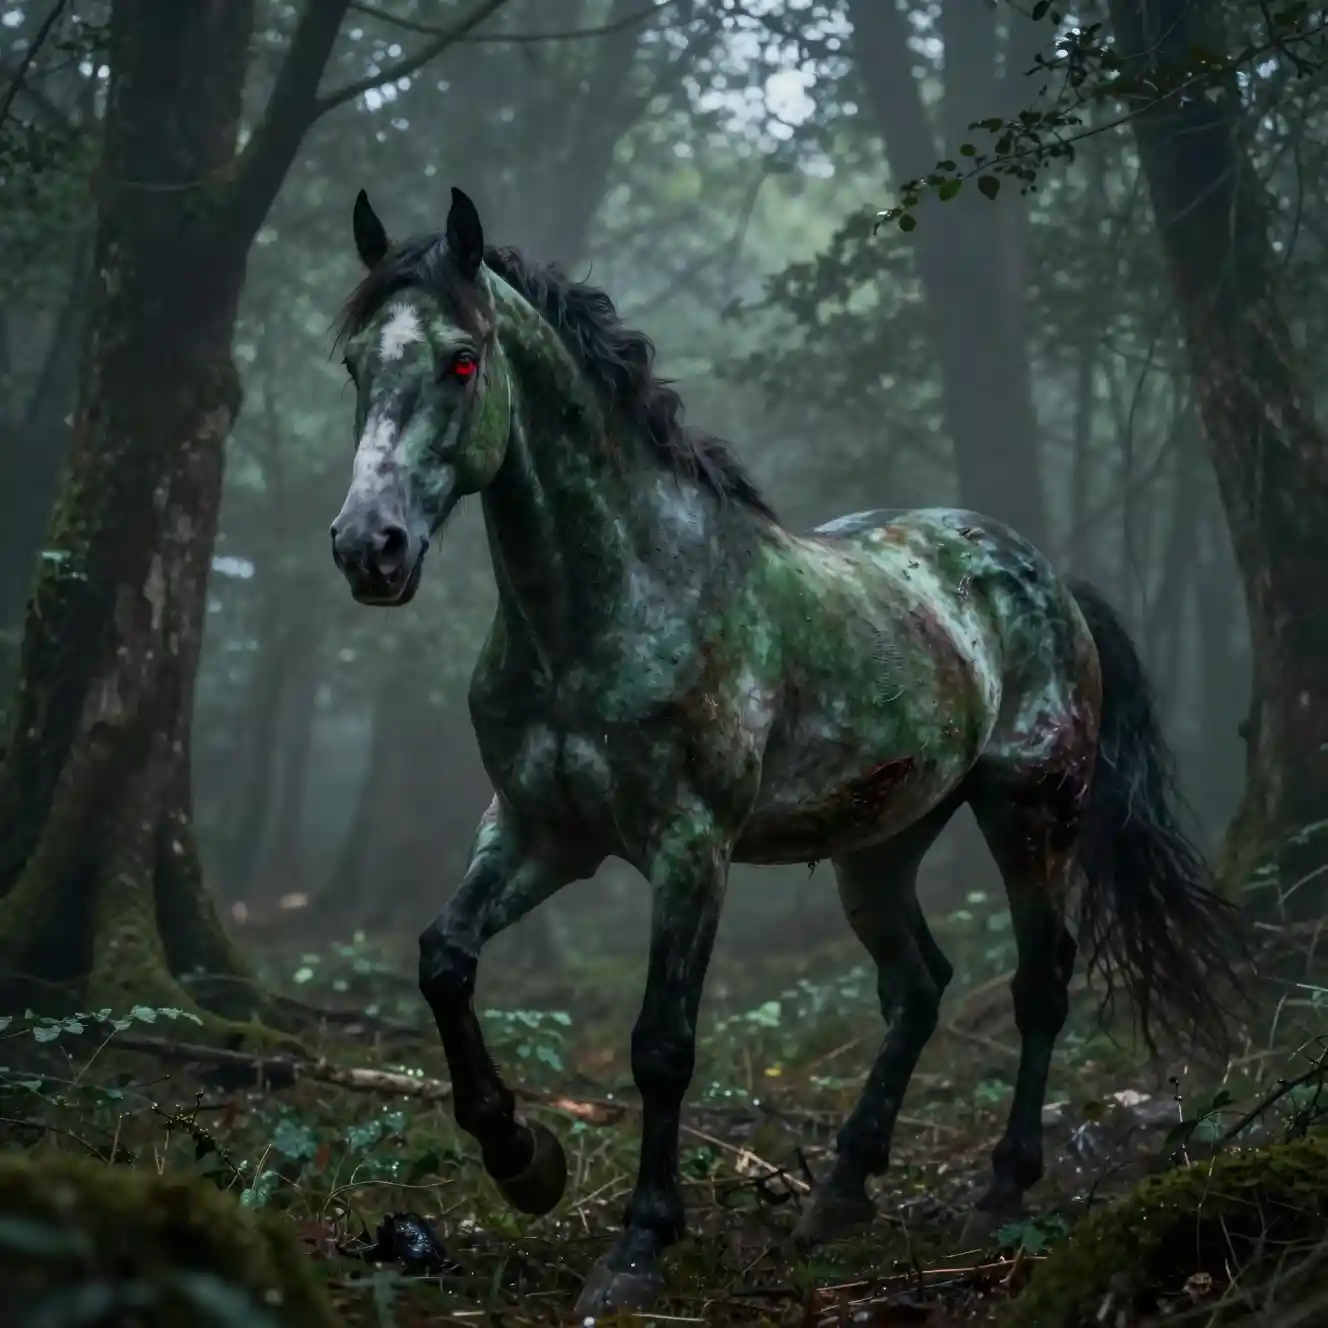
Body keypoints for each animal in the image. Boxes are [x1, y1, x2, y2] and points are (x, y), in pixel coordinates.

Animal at [327, 186, 1243, 1316]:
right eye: (354, 364)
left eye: (462, 361)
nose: (368, 548)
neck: (613, 604)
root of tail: (1045, 575)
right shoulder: (539, 832)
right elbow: (443, 960)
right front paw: (523, 1158)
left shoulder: (689, 847)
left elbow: (662, 1044)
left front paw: (638, 1244)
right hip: (878, 844)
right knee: (919, 985)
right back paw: (840, 1190)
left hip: (1030, 810)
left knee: (1041, 980)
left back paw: (999, 1188)